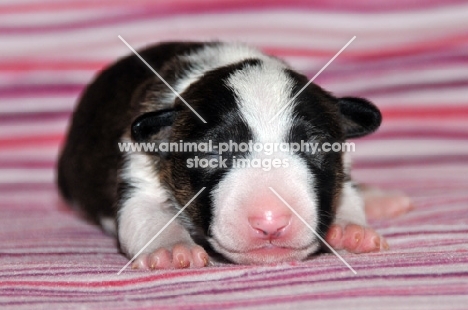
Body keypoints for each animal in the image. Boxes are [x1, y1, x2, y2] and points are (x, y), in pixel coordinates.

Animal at [56, 41, 412, 268]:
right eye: (211, 152)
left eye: (315, 147)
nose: (270, 223)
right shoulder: (138, 169)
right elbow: (144, 213)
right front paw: (171, 248)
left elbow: (345, 193)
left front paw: (351, 230)